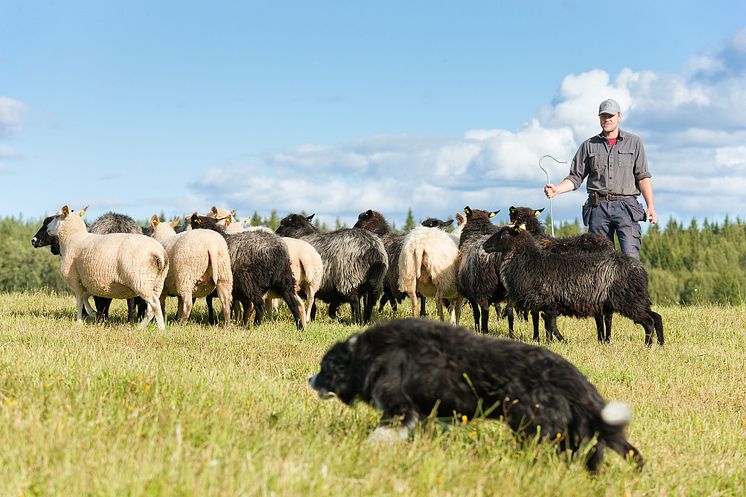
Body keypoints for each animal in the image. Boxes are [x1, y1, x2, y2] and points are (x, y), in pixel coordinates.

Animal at [308, 318, 640, 472]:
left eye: (324, 368)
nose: (310, 380)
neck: (367, 354)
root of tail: (569, 375)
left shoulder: (398, 405)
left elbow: (380, 435)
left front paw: (365, 450)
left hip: (532, 423)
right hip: (571, 429)